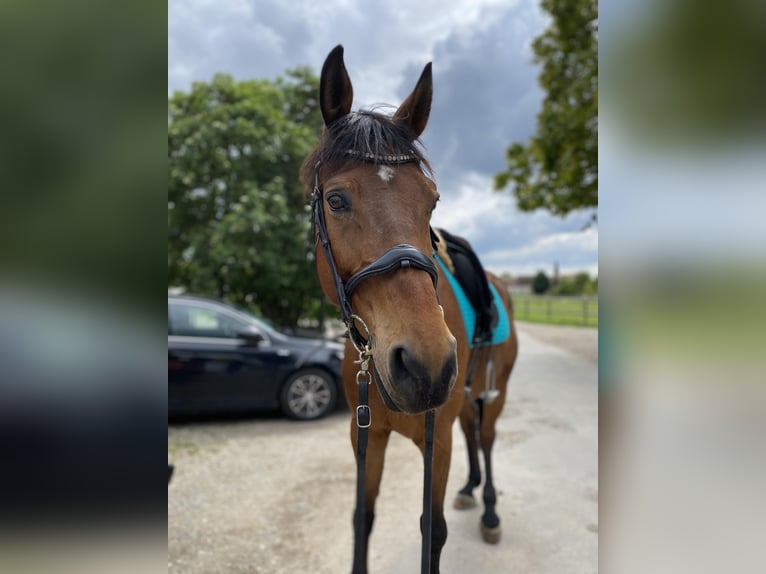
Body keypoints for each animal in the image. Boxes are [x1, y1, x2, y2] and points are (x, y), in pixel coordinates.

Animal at [304, 45, 520, 574]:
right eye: (336, 200)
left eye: (432, 202)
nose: (426, 364)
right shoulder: (366, 434)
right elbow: (362, 519)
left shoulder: (434, 439)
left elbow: (433, 531)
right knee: (473, 432)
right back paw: (470, 488)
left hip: (494, 393)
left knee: (486, 437)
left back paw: (489, 509)